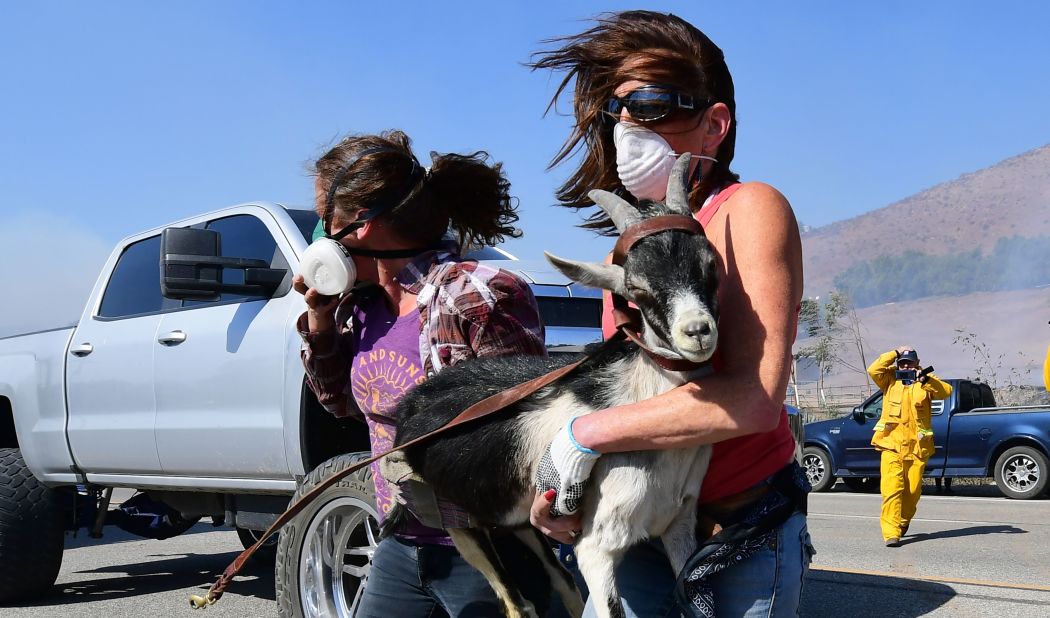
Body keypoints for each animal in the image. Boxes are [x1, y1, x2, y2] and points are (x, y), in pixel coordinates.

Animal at [386, 155, 722, 616]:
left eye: (711, 265)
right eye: (635, 287)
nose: (698, 332)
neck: (633, 398)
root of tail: (411, 403)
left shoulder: (679, 525)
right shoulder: (597, 545)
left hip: (516, 514)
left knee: (559, 581)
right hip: (456, 518)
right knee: (517, 602)